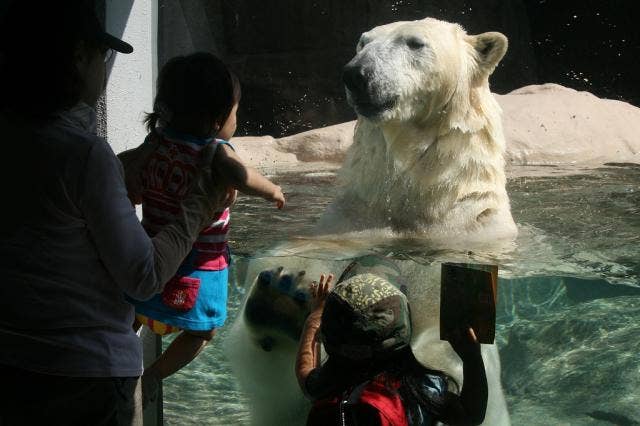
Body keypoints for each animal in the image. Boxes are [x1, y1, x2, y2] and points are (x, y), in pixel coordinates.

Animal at [226, 17, 516, 426]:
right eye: (363, 42)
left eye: (415, 43)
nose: (356, 73)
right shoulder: (349, 220)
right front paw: (287, 286)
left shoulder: (469, 236)